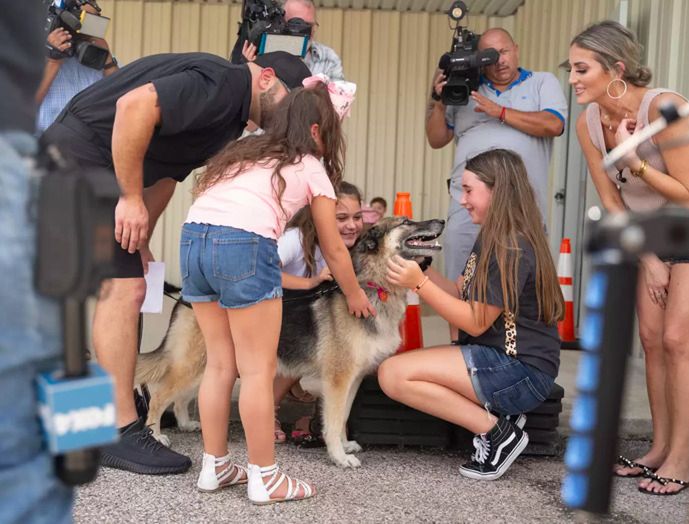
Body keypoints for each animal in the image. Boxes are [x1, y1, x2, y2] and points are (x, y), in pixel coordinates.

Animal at [136, 216, 444, 466]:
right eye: (406, 221)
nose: (441, 220)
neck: (373, 286)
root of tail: (185, 296)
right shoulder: (338, 380)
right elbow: (333, 421)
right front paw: (339, 456)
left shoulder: (354, 380)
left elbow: (343, 416)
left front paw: (344, 446)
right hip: (193, 364)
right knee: (160, 396)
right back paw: (155, 434)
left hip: (208, 366)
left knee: (181, 398)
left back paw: (186, 424)